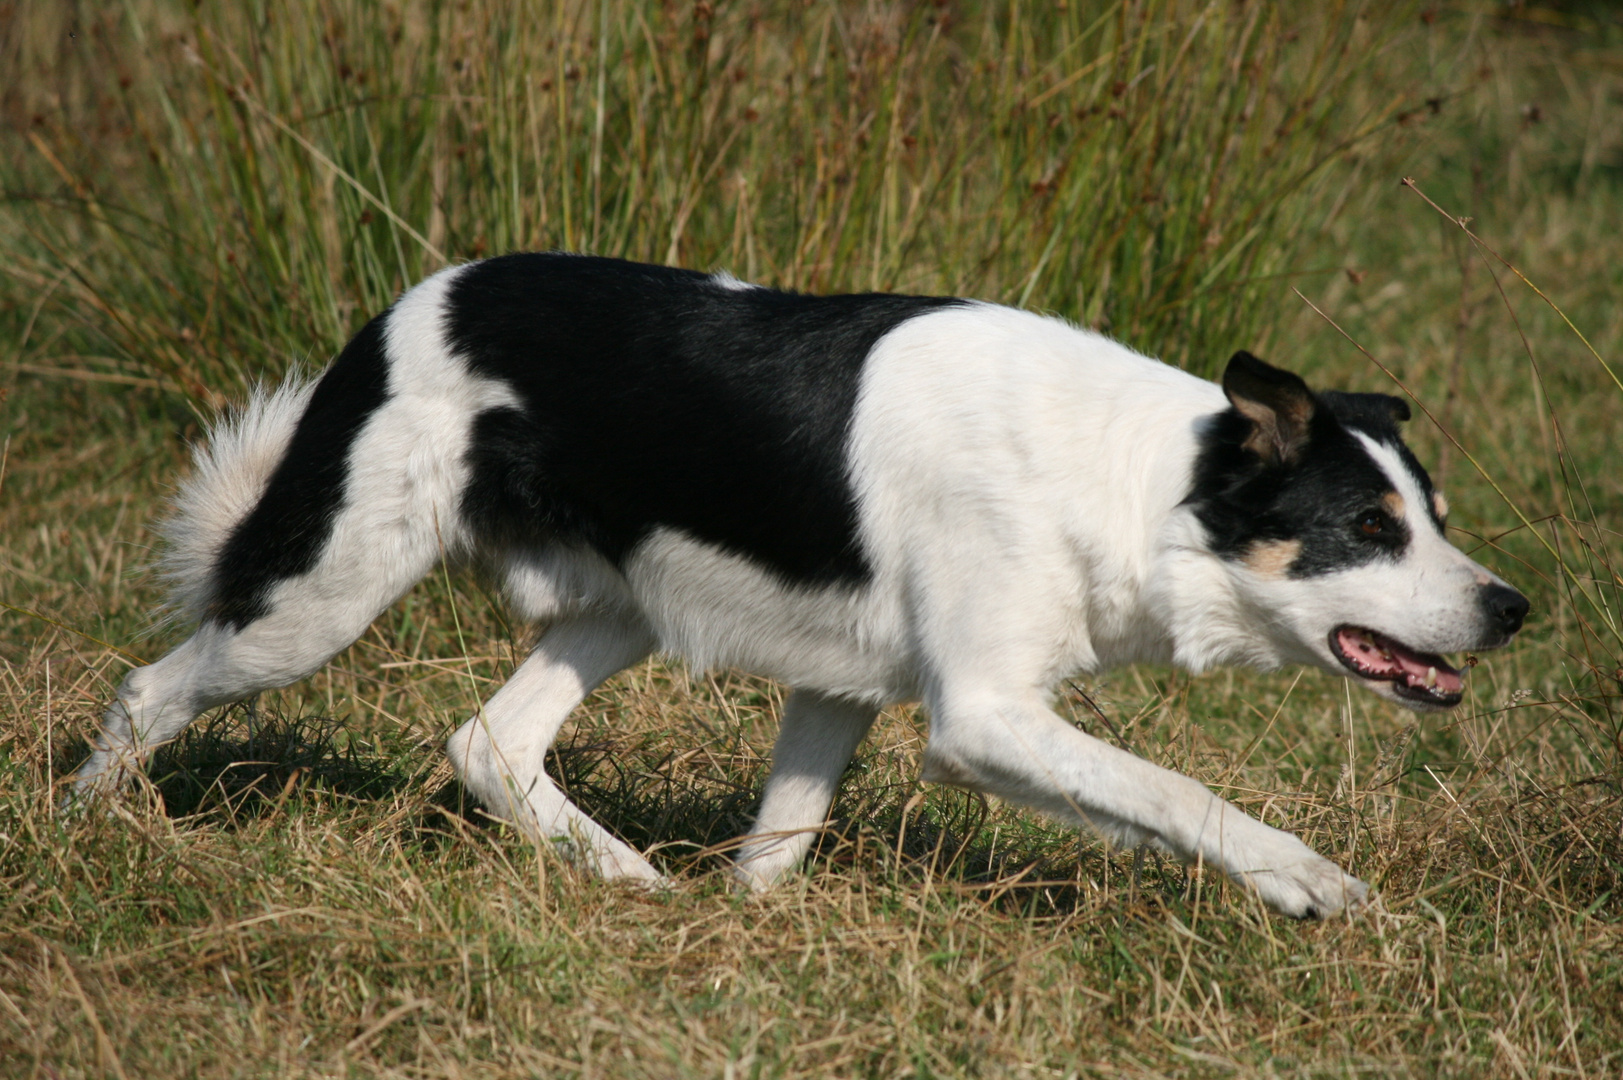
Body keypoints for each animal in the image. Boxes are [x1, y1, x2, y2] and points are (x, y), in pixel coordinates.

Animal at [69, 254, 1525, 915]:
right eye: (1368, 527)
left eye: (1433, 518)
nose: (1512, 608)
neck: (1140, 483)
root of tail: (406, 303)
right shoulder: (982, 715)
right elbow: (1178, 793)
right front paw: (1312, 886)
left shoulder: (845, 688)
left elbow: (779, 846)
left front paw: (743, 936)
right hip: (324, 593)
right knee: (152, 686)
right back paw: (81, 831)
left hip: (622, 606)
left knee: (489, 741)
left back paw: (631, 884)